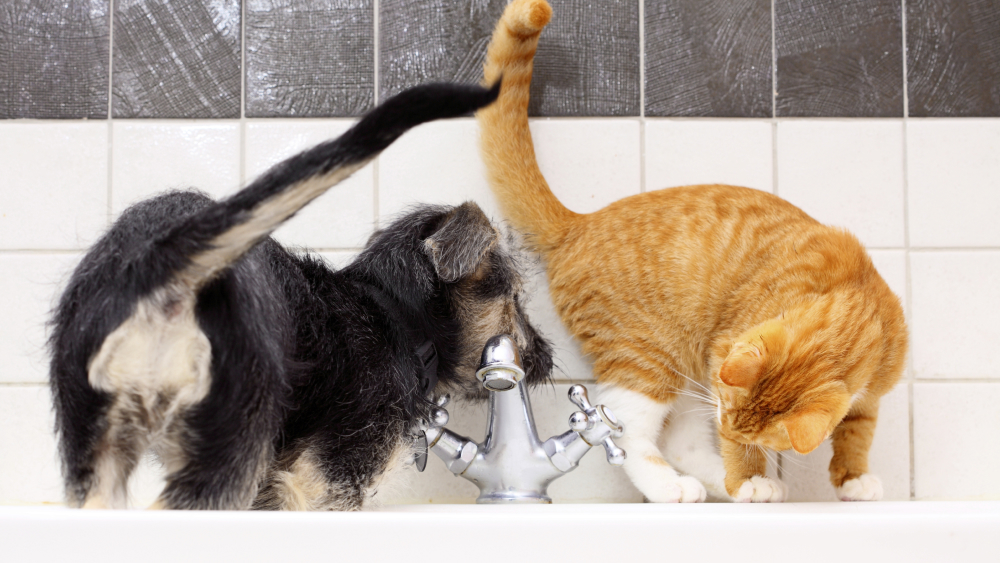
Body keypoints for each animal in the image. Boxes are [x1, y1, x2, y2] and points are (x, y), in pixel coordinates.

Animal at [47, 82, 556, 512]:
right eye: (515, 298)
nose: (550, 357)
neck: (397, 318)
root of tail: (163, 261)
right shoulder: (332, 480)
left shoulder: (272, 488)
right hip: (231, 443)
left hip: (96, 445)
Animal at [476, 0, 908, 502]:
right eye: (735, 425)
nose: (727, 424)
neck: (857, 298)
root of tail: (579, 222)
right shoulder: (724, 353)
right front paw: (747, 480)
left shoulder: (869, 392)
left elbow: (857, 430)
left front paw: (854, 479)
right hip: (650, 355)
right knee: (623, 425)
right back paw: (676, 486)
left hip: (684, 370)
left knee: (680, 441)